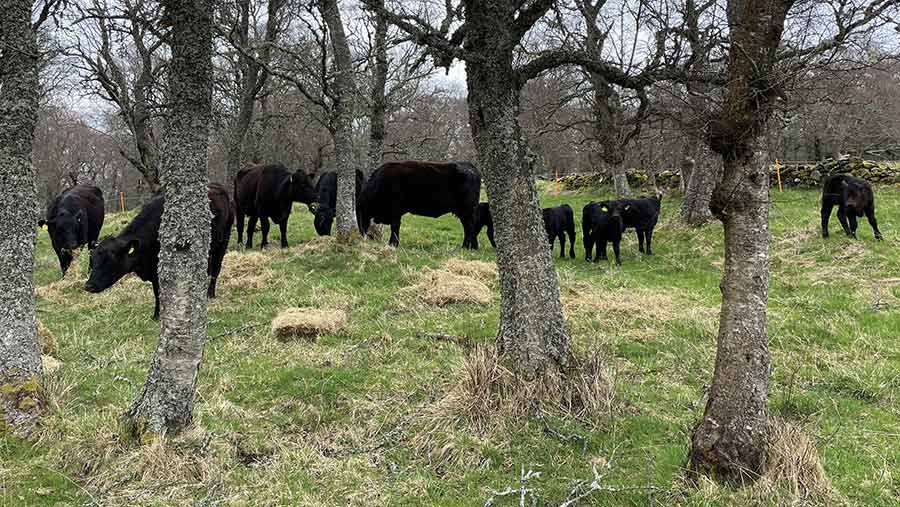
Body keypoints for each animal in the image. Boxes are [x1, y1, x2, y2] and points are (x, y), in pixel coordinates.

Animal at [84, 184, 236, 322]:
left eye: (110, 261)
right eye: (93, 261)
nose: (88, 286)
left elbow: (159, 291)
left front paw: (159, 315)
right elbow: (156, 292)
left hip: (223, 242)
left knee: (216, 269)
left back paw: (210, 294)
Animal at [358, 160, 486, 249]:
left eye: (362, 210)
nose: (364, 233)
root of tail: (470, 166)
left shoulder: (395, 211)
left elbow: (395, 227)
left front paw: (393, 244)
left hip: (467, 210)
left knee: (469, 227)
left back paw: (465, 247)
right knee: (469, 227)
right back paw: (473, 247)